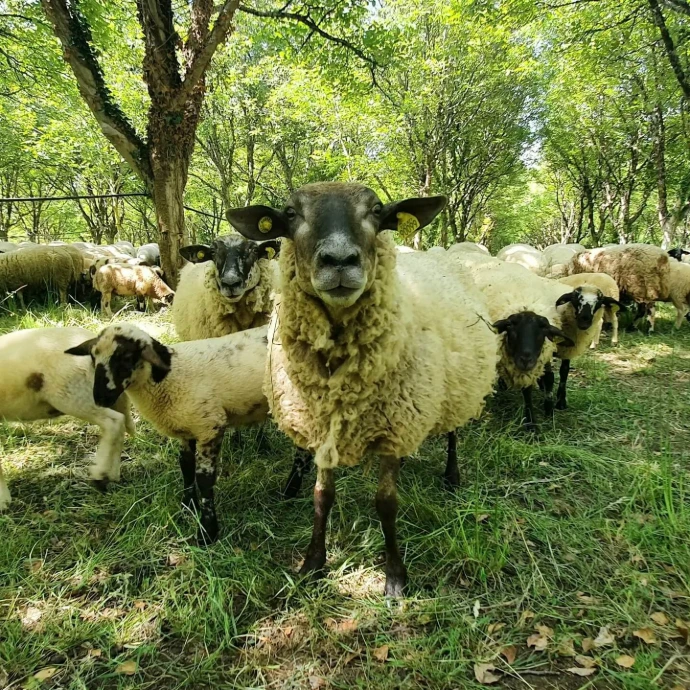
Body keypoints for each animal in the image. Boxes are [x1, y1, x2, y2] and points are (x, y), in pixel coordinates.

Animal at [65, 323, 271, 543]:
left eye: (126, 357)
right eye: (93, 357)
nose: (100, 398)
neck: (170, 377)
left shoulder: (210, 427)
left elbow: (204, 481)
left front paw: (207, 532)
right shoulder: (187, 431)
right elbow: (186, 467)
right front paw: (188, 507)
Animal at [227, 182, 499, 597]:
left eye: (376, 210)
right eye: (290, 214)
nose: (340, 260)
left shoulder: (394, 427)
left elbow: (386, 502)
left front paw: (396, 577)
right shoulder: (322, 425)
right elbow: (321, 496)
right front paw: (313, 563)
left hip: (456, 383)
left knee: (453, 429)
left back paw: (452, 475)